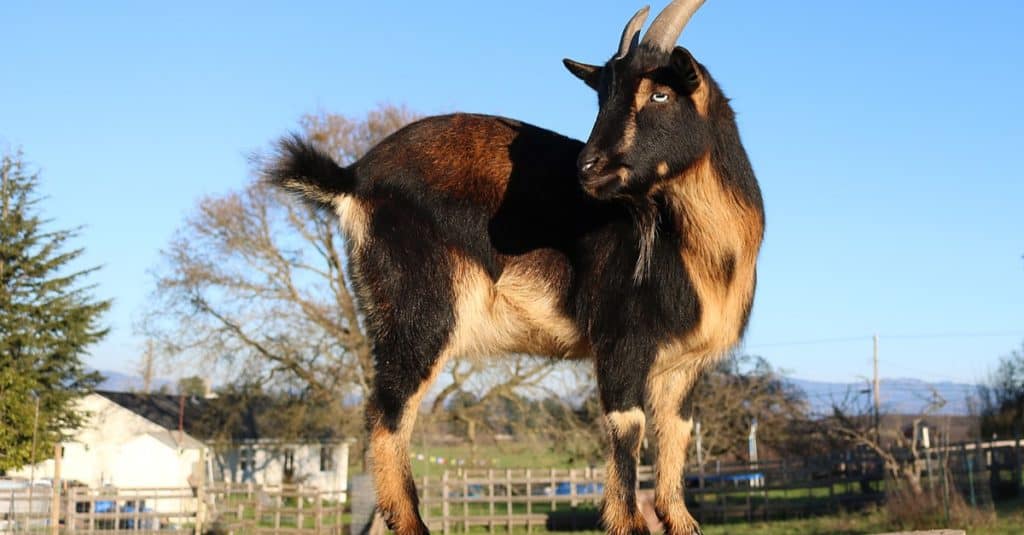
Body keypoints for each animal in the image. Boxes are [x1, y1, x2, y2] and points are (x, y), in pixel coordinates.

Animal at [268, 1, 765, 532]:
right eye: (602, 98)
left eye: (660, 92)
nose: (587, 168)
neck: (701, 252)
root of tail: (353, 178)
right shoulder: (621, 340)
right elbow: (627, 427)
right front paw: (626, 520)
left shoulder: (686, 364)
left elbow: (676, 433)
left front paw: (679, 517)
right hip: (419, 308)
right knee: (389, 412)